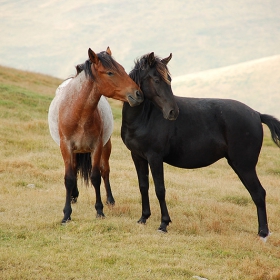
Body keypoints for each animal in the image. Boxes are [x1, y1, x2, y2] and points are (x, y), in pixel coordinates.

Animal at [47, 47, 142, 224]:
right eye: (110, 72)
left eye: (123, 69)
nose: (138, 94)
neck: (78, 112)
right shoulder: (66, 147)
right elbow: (69, 178)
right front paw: (66, 214)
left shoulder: (96, 147)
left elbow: (96, 176)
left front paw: (99, 211)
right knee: (74, 169)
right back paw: (73, 196)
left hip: (106, 146)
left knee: (105, 171)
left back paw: (110, 200)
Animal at [121, 52, 280, 238]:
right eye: (156, 79)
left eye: (169, 79)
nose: (172, 112)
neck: (144, 117)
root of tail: (256, 114)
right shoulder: (138, 157)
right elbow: (143, 186)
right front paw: (143, 218)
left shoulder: (155, 158)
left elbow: (160, 189)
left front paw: (164, 224)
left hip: (244, 166)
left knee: (259, 193)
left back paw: (263, 233)